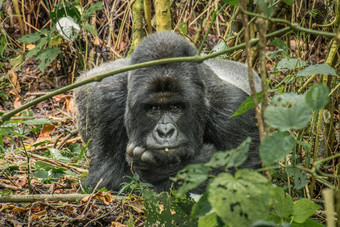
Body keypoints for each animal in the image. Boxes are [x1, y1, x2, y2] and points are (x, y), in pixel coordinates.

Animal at [73, 31, 260, 192]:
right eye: (153, 108)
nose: (165, 132)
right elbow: (107, 177)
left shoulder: (234, 111)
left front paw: (155, 168)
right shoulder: (105, 102)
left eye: (175, 107)